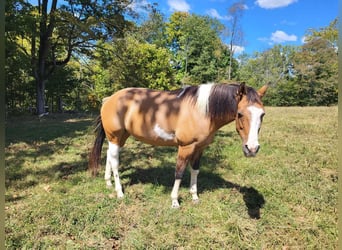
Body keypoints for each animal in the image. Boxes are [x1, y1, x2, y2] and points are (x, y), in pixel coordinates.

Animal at [87, 82, 268, 207]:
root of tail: (109, 99)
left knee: (109, 156)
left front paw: (194, 196)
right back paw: (119, 192)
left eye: (262, 115)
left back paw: (108, 183)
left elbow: (195, 171)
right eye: (240, 113)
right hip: (115, 136)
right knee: (115, 162)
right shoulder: (185, 147)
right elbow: (179, 172)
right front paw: (175, 201)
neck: (202, 111)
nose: (252, 149)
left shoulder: (199, 148)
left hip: (119, 137)